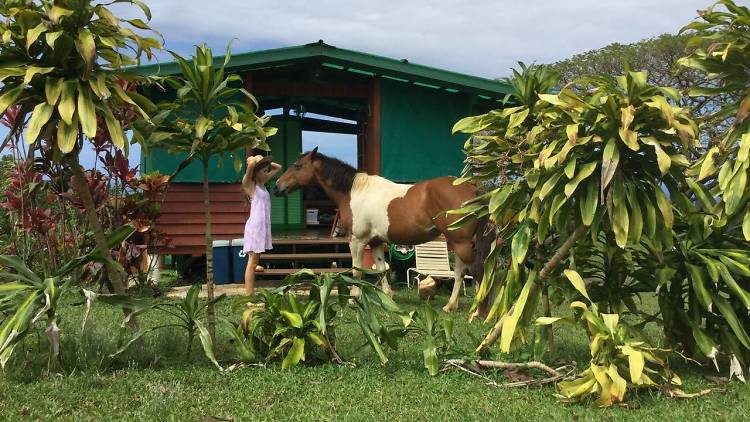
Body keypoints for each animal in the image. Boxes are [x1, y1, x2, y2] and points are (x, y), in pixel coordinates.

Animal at [276, 147, 494, 312]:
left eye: (297, 166)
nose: (278, 186)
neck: (354, 192)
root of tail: (471, 189)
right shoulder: (376, 242)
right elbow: (381, 269)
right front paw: (387, 296)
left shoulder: (357, 240)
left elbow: (357, 271)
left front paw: (353, 298)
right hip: (458, 243)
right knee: (460, 273)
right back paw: (451, 306)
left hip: (460, 243)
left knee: (475, 271)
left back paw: (477, 309)